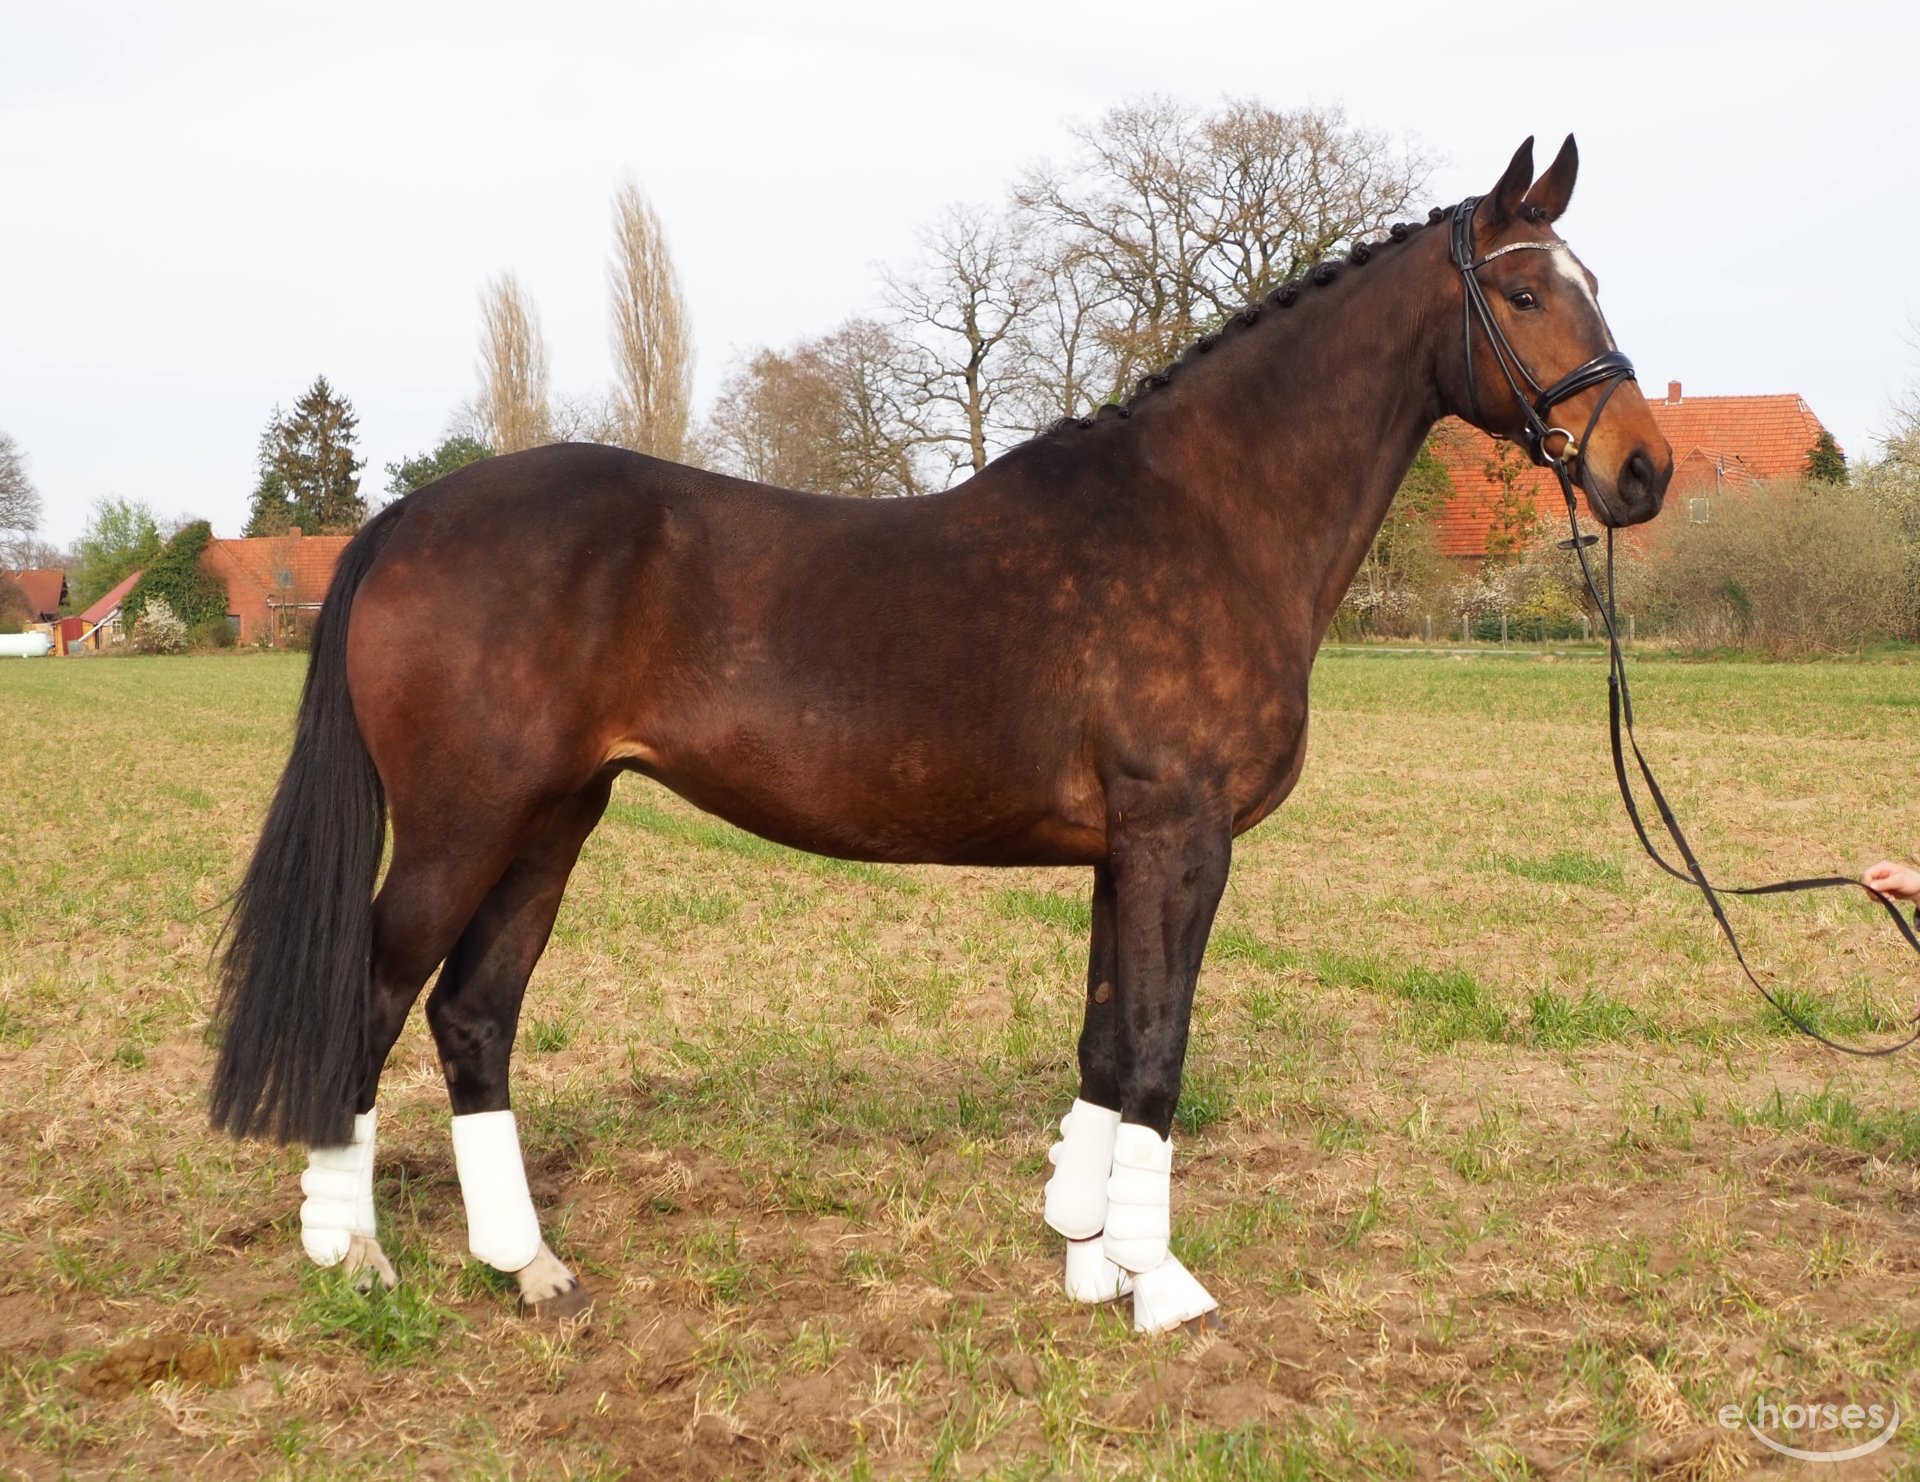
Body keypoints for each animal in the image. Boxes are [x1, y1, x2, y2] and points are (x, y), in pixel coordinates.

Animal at [217, 136, 1674, 1328]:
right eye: (1527, 293)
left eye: (1596, 278)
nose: (1643, 469)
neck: (1209, 516)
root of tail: (410, 517)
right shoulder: (1181, 837)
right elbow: (1158, 1052)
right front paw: (1159, 1284)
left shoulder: (1123, 852)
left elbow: (1106, 1042)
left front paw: (1086, 1253)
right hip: (463, 826)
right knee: (372, 993)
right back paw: (355, 1258)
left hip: (553, 819)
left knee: (473, 1013)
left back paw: (528, 1268)